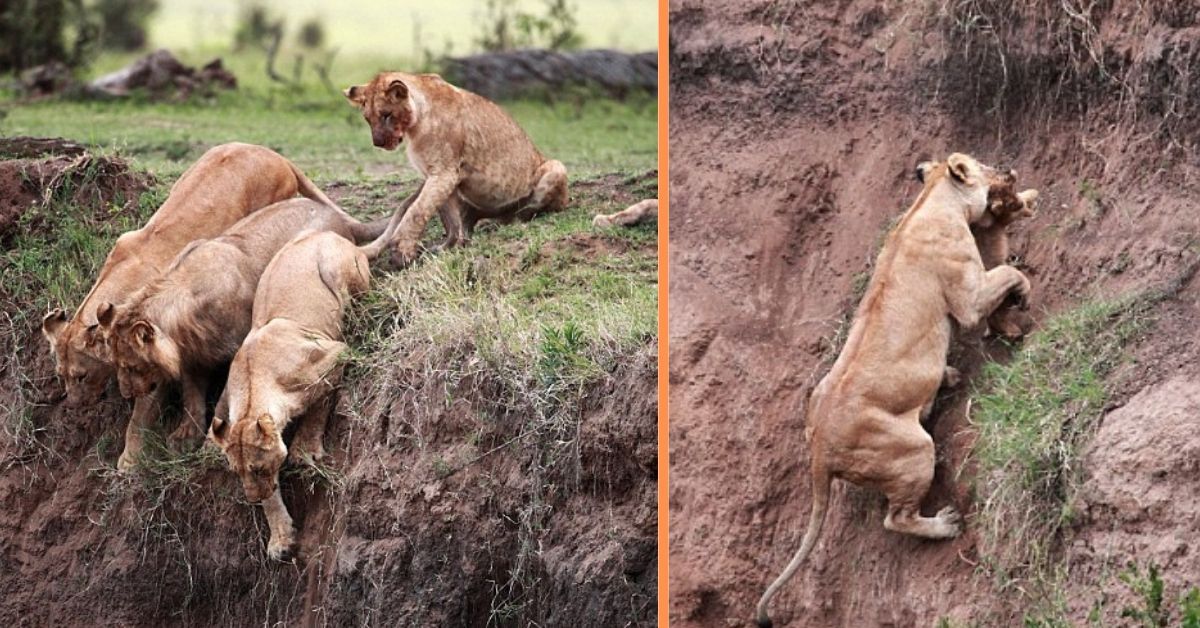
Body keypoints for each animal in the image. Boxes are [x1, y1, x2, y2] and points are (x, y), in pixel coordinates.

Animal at [41, 141, 343, 465]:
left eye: (81, 376)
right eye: (61, 376)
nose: (73, 406)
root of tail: (271, 153)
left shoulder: (158, 358)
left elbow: (141, 416)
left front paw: (129, 461)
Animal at [100, 199, 386, 463]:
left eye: (132, 366)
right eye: (116, 364)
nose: (126, 394)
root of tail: (338, 216)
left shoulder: (237, 349)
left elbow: (223, 400)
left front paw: (210, 444)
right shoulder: (192, 356)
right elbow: (192, 396)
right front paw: (186, 436)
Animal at [208, 229, 369, 559]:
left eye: (257, 469)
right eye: (237, 473)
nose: (251, 499)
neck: (253, 388)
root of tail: (330, 233)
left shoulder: (335, 353)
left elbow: (319, 403)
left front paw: (304, 450)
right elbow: (273, 497)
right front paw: (281, 539)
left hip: (336, 271)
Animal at [758, 153, 1032, 628]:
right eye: (986, 166)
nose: (1009, 172)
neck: (931, 201)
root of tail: (819, 450)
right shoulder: (969, 295)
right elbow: (1006, 273)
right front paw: (1023, 295)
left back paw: (948, 377)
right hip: (912, 451)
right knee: (896, 519)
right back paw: (945, 524)